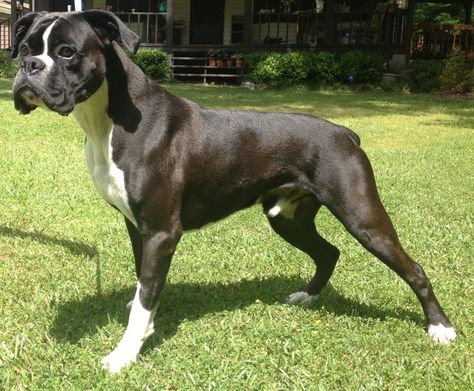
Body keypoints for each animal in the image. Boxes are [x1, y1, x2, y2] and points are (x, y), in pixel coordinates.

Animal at [11, 10, 456, 376]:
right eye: (25, 49)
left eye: (67, 52)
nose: (29, 67)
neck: (109, 118)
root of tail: (345, 133)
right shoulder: (138, 228)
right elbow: (144, 287)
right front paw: (142, 319)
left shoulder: (161, 232)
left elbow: (145, 295)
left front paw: (124, 354)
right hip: (288, 219)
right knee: (329, 252)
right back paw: (308, 296)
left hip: (363, 218)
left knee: (413, 269)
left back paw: (440, 328)